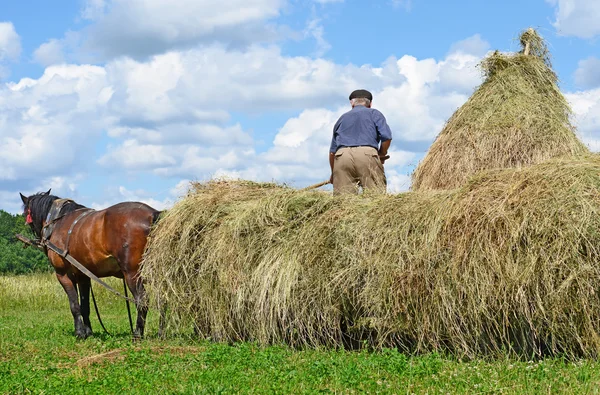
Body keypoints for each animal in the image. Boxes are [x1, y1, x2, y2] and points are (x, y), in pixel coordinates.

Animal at [19, 190, 161, 338]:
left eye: (25, 213)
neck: (56, 223)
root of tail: (152, 214)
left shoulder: (63, 274)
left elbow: (74, 305)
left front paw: (80, 333)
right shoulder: (83, 276)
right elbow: (85, 306)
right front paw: (88, 332)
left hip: (132, 273)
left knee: (142, 300)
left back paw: (137, 334)